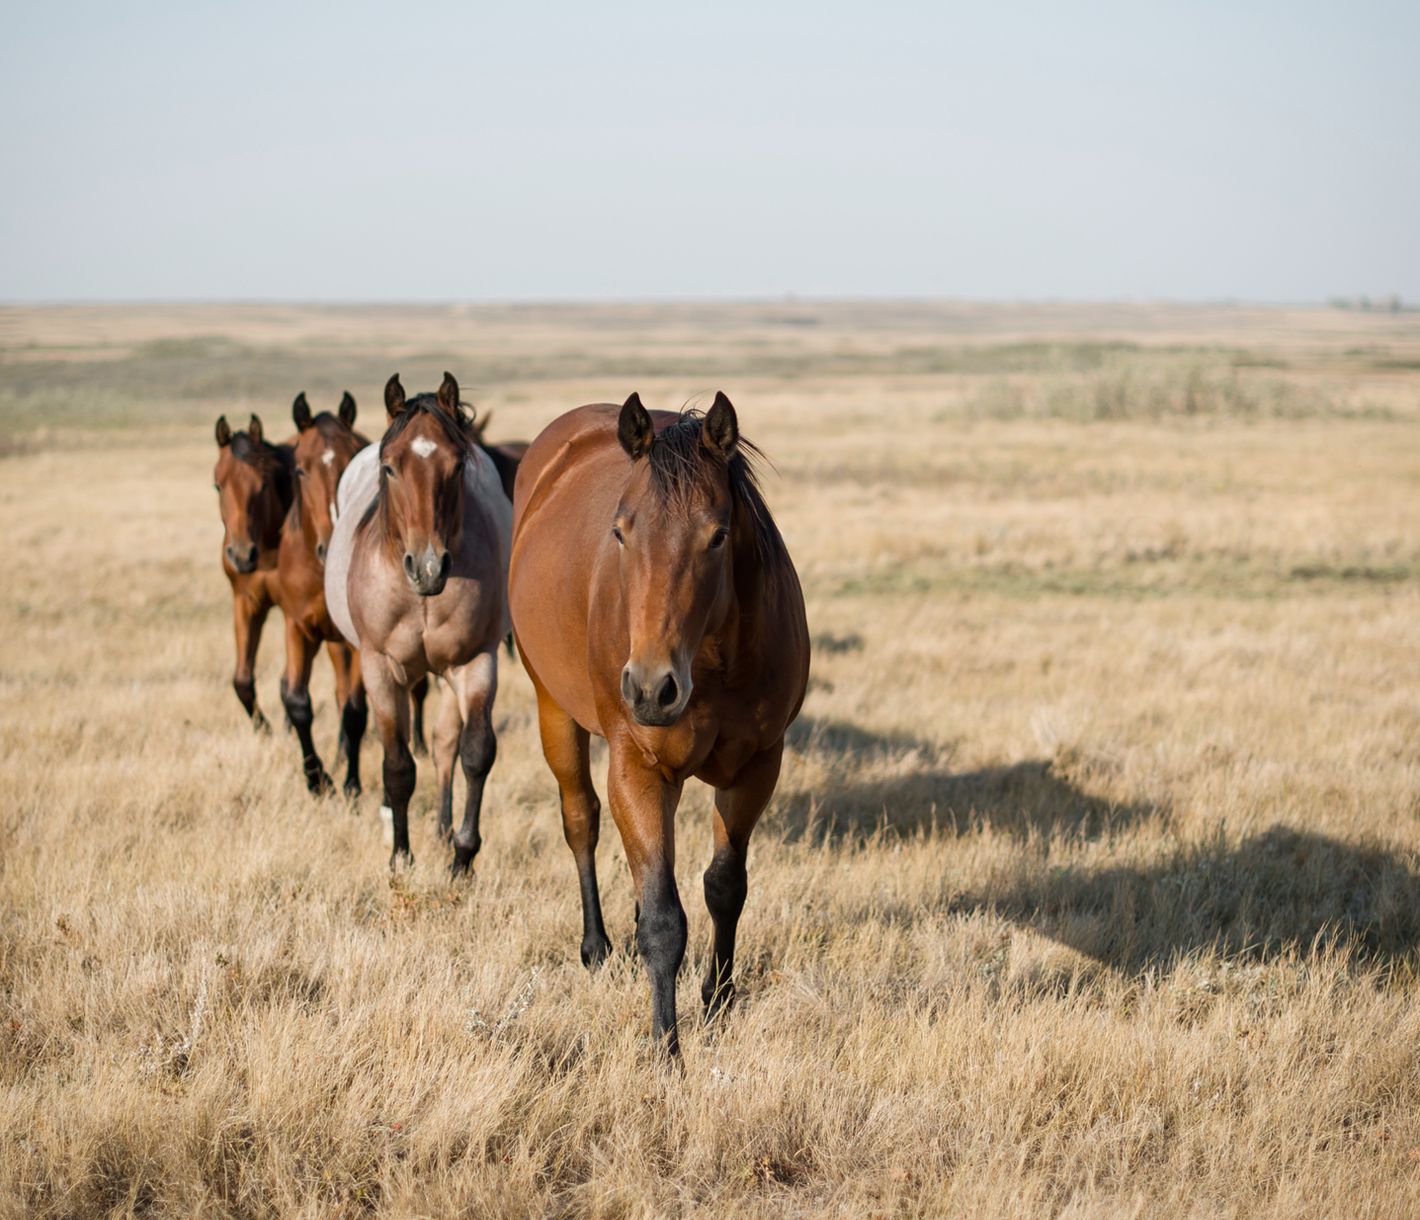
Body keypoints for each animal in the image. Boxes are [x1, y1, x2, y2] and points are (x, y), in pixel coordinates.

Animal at [325, 372, 512, 873]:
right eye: (390, 467)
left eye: (458, 466)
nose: (428, 568)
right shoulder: (380, 667)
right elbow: (397, 765)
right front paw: (400, 855)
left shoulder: (475, 662)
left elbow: (474, 753)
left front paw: (462, 856)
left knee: (445, 744)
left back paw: (444, 830)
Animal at [509, 392, 810, 1055]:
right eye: (621, 531)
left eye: (717, 536)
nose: (650, 688)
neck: (712, 661)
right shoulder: (639, 769)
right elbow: (666, 920)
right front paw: (667, 1050)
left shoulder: (757, 766)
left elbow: (724, 887)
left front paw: (718, 1000)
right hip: (553, 710)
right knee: (581, 821)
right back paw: (596, 947)